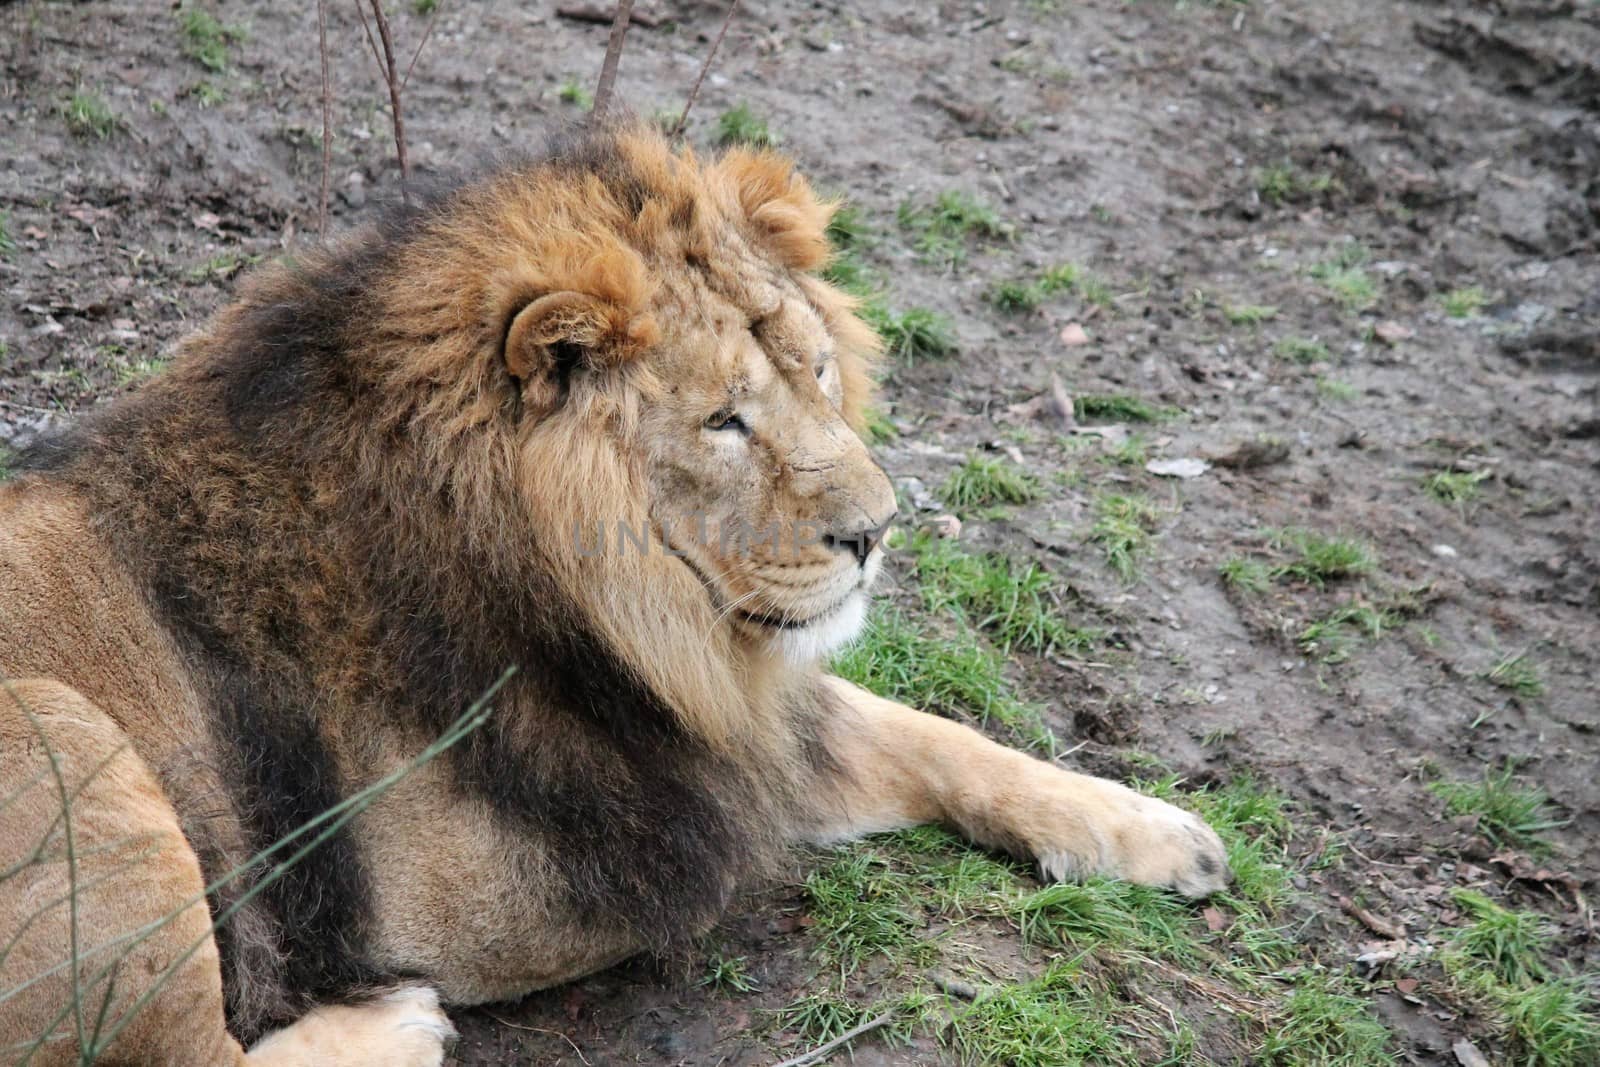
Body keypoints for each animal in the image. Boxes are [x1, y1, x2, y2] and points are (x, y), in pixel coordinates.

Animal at [0, 127, 1228, 1067]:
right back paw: (394, 1025)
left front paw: (1152, 829)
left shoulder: (713, 730)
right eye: (724, 419)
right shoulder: (509, 882)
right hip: (63, 731)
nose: (878, 530)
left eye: (819, 369)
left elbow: (933, 734)